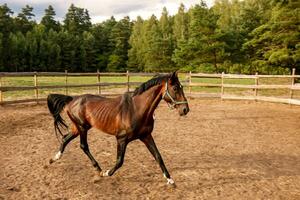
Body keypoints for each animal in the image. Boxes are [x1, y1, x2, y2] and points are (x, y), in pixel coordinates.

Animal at [47, 71, 189, 185]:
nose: (185, 109)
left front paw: (170, 180)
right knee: (83, 146)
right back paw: (99, 169)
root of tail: (71, 99)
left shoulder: (146, 136)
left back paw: (53, 159)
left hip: (79, 127)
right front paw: (107, 173)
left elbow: (158, 156)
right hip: (82, 128)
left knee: (65, 138)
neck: (136, 109)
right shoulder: (121, 139)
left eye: (181, 87)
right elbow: (120, 161)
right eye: (175, 88)